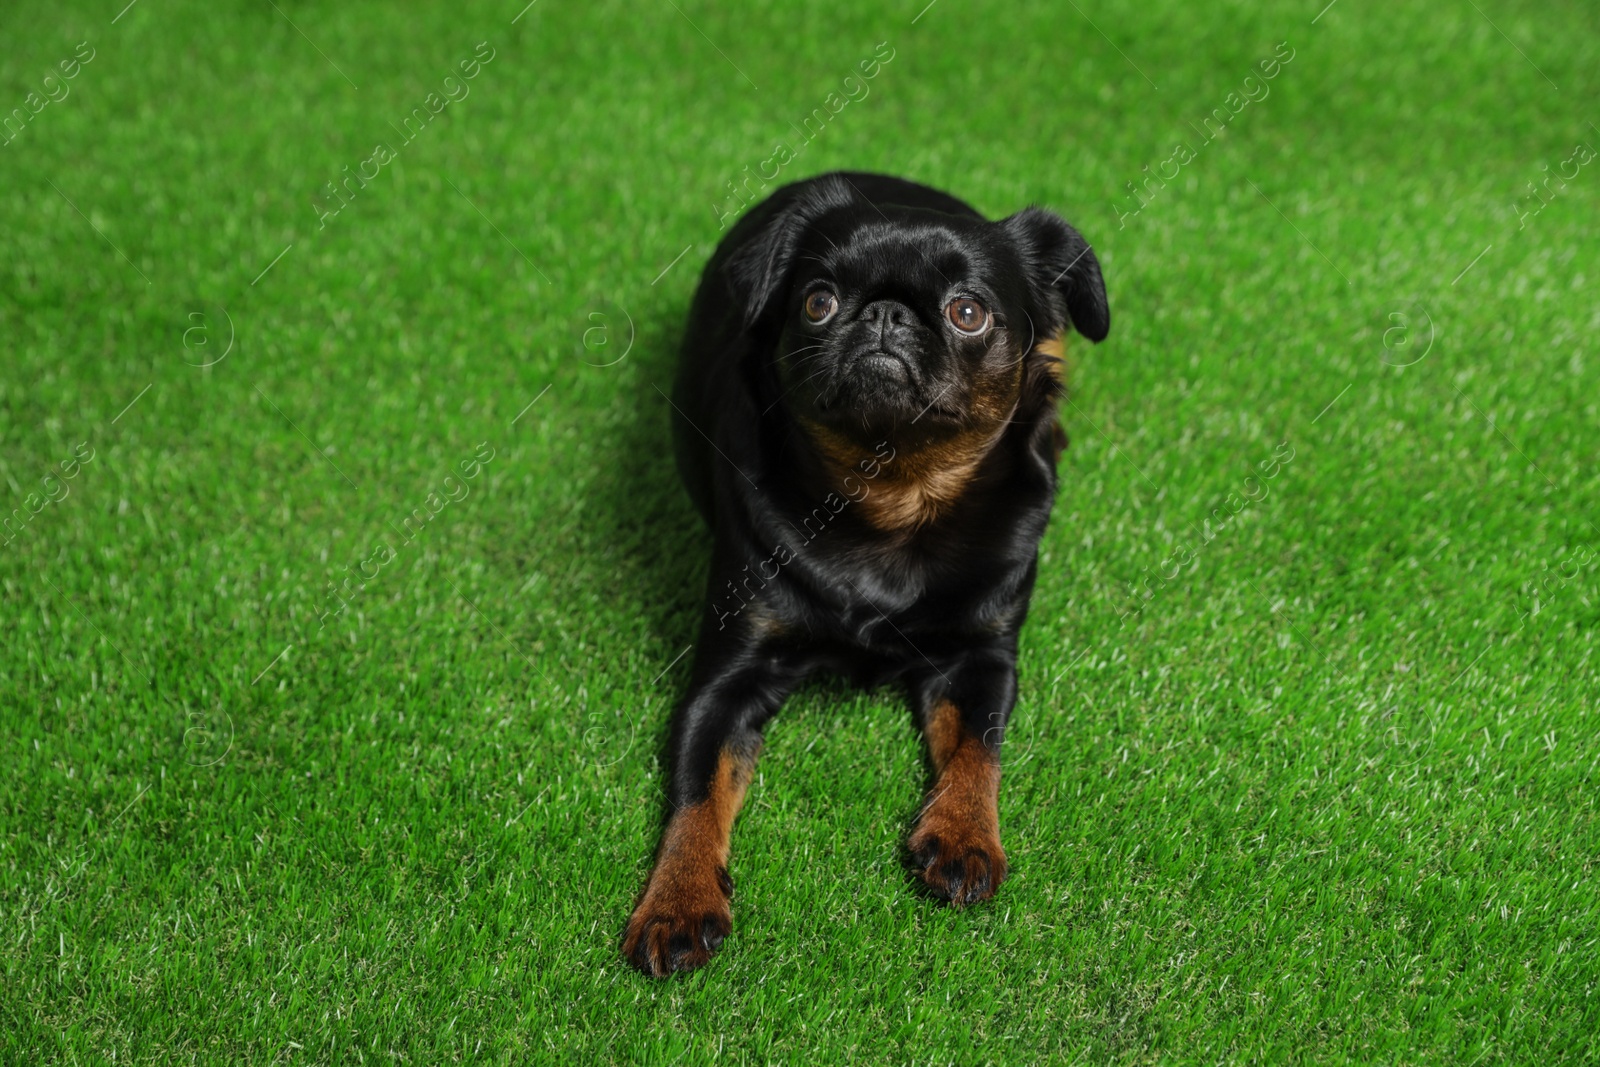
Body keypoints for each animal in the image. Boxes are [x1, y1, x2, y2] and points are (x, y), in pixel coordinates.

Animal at [617, 168, 1107, 979]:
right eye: (817, 301)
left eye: (968, 312)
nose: (884, 314)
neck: (895, 497)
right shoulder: (724, 683)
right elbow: (696, 793)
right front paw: (678, 898)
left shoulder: (983, 657)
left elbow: (979, 750)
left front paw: (965, 834)